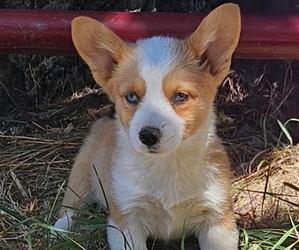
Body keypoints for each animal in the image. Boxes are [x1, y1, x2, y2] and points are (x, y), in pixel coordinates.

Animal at [54, 3, 241, 250]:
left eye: (180, 96)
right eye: (131, 96)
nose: (148, 135)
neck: (167, 165)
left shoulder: (217, 219)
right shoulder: (127, 222)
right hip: (82, 172)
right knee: (71, 205)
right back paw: (58, 231)